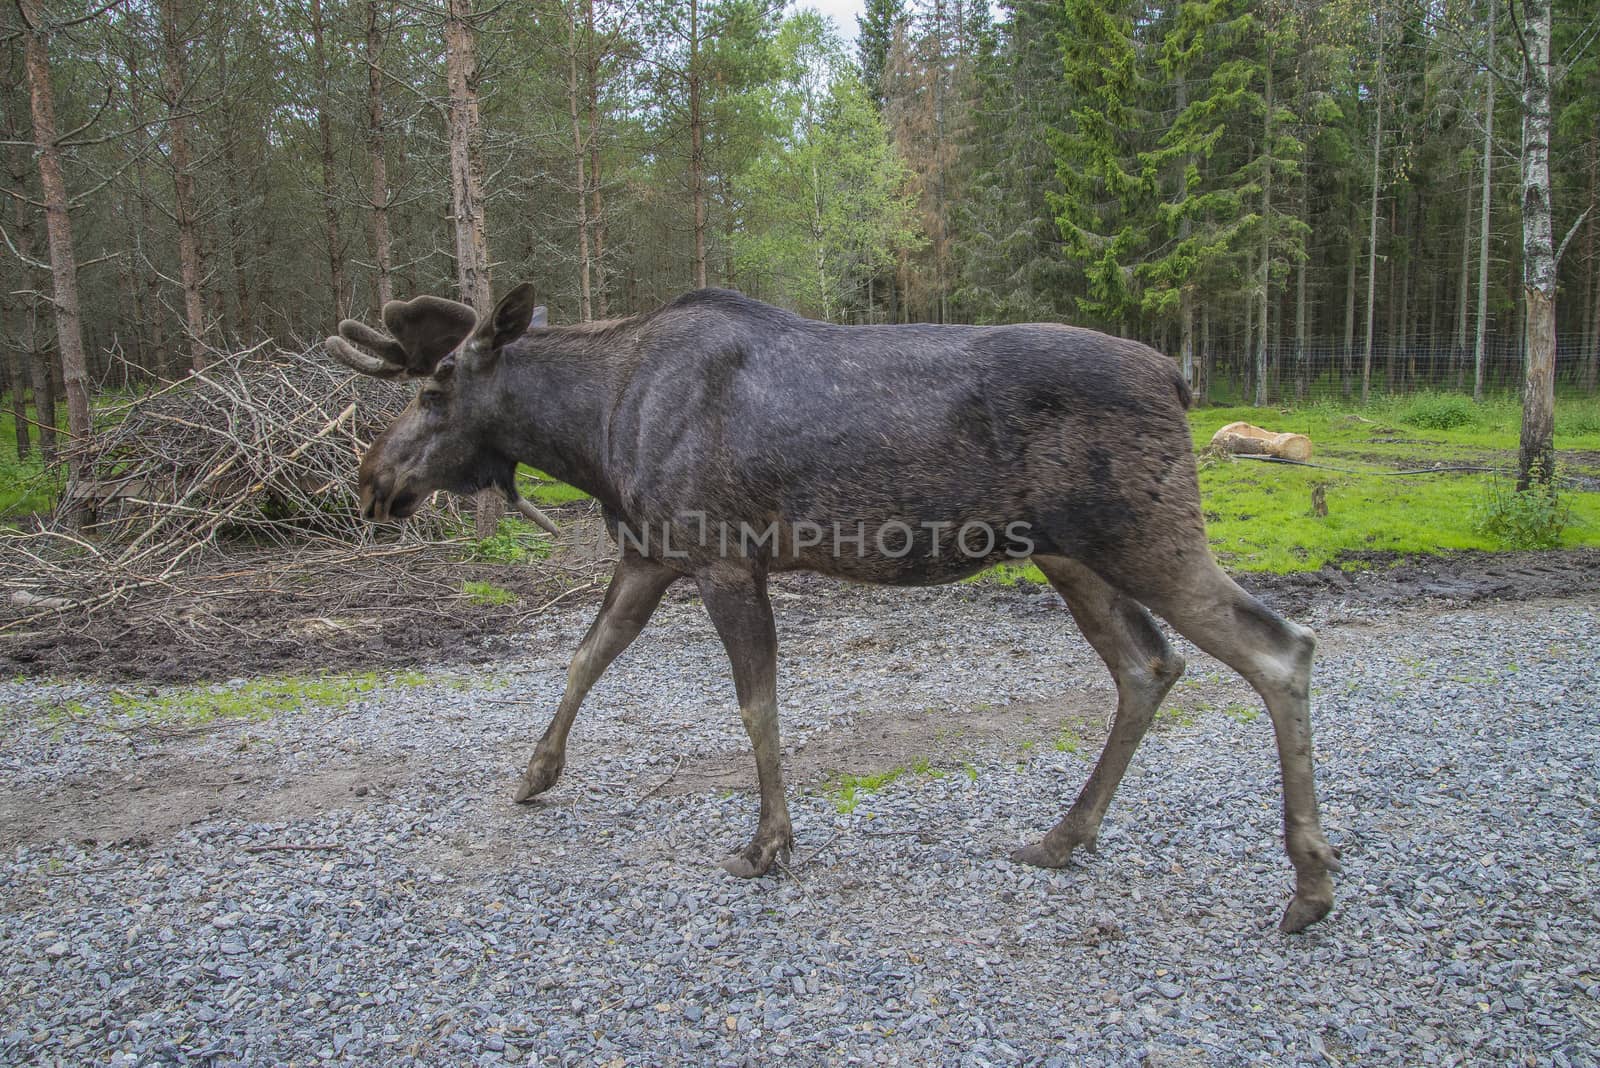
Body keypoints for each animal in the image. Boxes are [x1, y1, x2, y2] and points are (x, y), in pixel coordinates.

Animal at [331, 286, 1344, 933]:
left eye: (433, 388)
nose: (371, 481)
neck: (593, 433)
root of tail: (1179, 378)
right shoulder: (650, 553)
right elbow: (587, 655)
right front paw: (535, 773)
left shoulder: (722, 556)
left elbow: (755, 705)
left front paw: (767, 843)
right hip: (1072, 554)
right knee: (1149, 663)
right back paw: (1064, 836)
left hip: (1146, 535)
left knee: (1281, 646)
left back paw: (1308, 886)